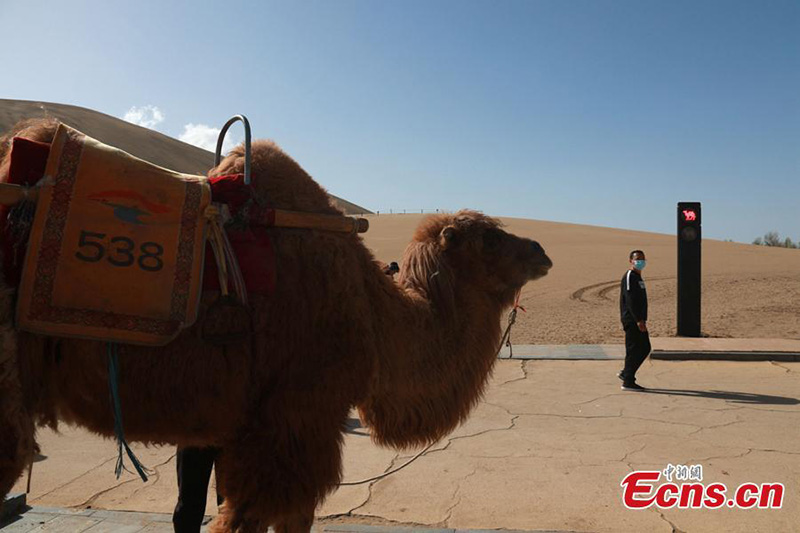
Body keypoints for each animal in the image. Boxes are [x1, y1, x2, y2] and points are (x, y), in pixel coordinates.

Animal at [0, 117, 552, 532]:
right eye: (488, 237)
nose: (541, 251)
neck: (371, 311)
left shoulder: (244, 427)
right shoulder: (297, 416)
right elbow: (263, 518)